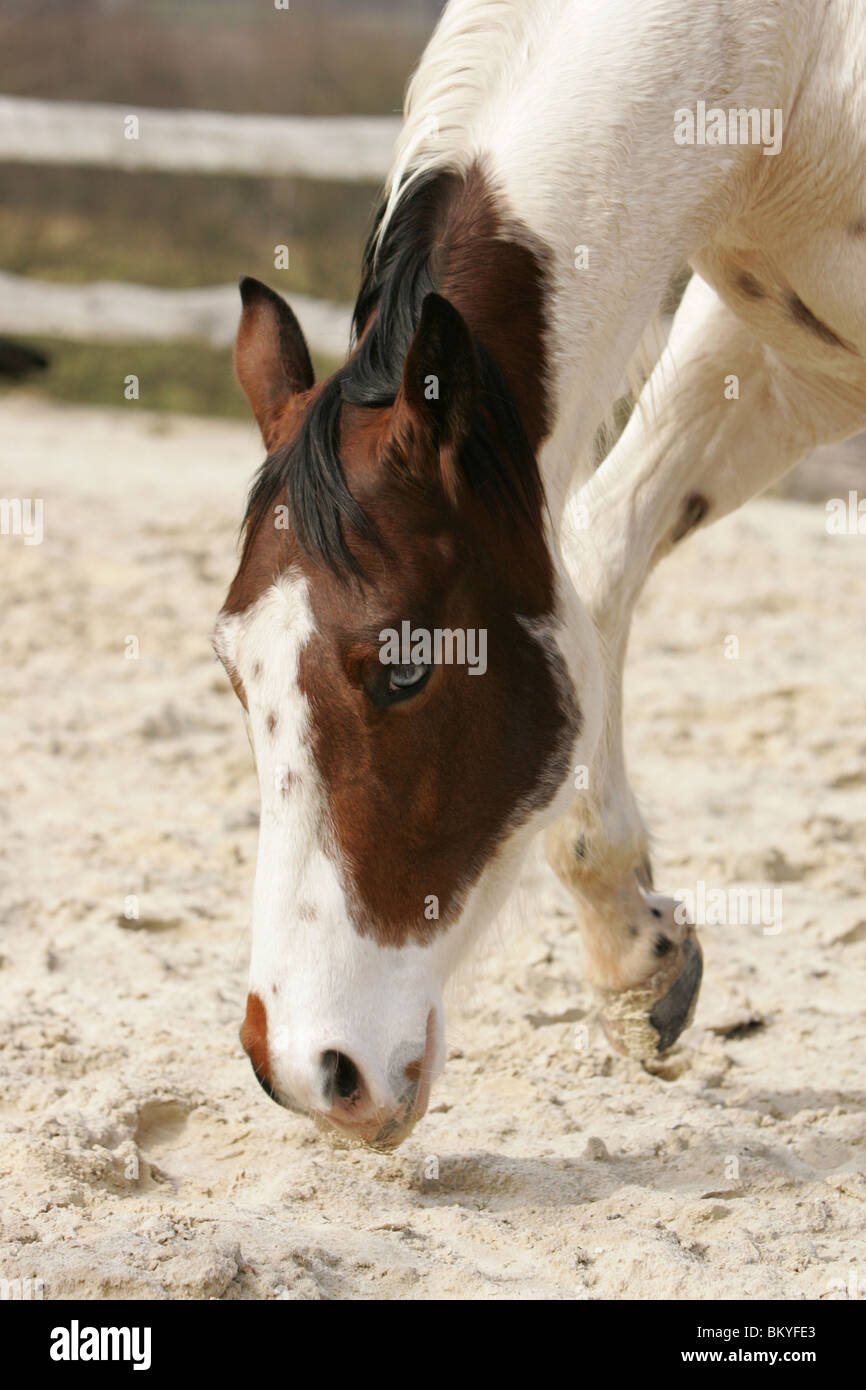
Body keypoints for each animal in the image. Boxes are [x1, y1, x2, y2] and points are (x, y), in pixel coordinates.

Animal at [215, 0, 866, 1145]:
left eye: (404, 666)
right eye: (231, 668)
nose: (307, 1071)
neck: (803, 64)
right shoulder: (782, 355)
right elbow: (601, 551)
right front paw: (634, 953)